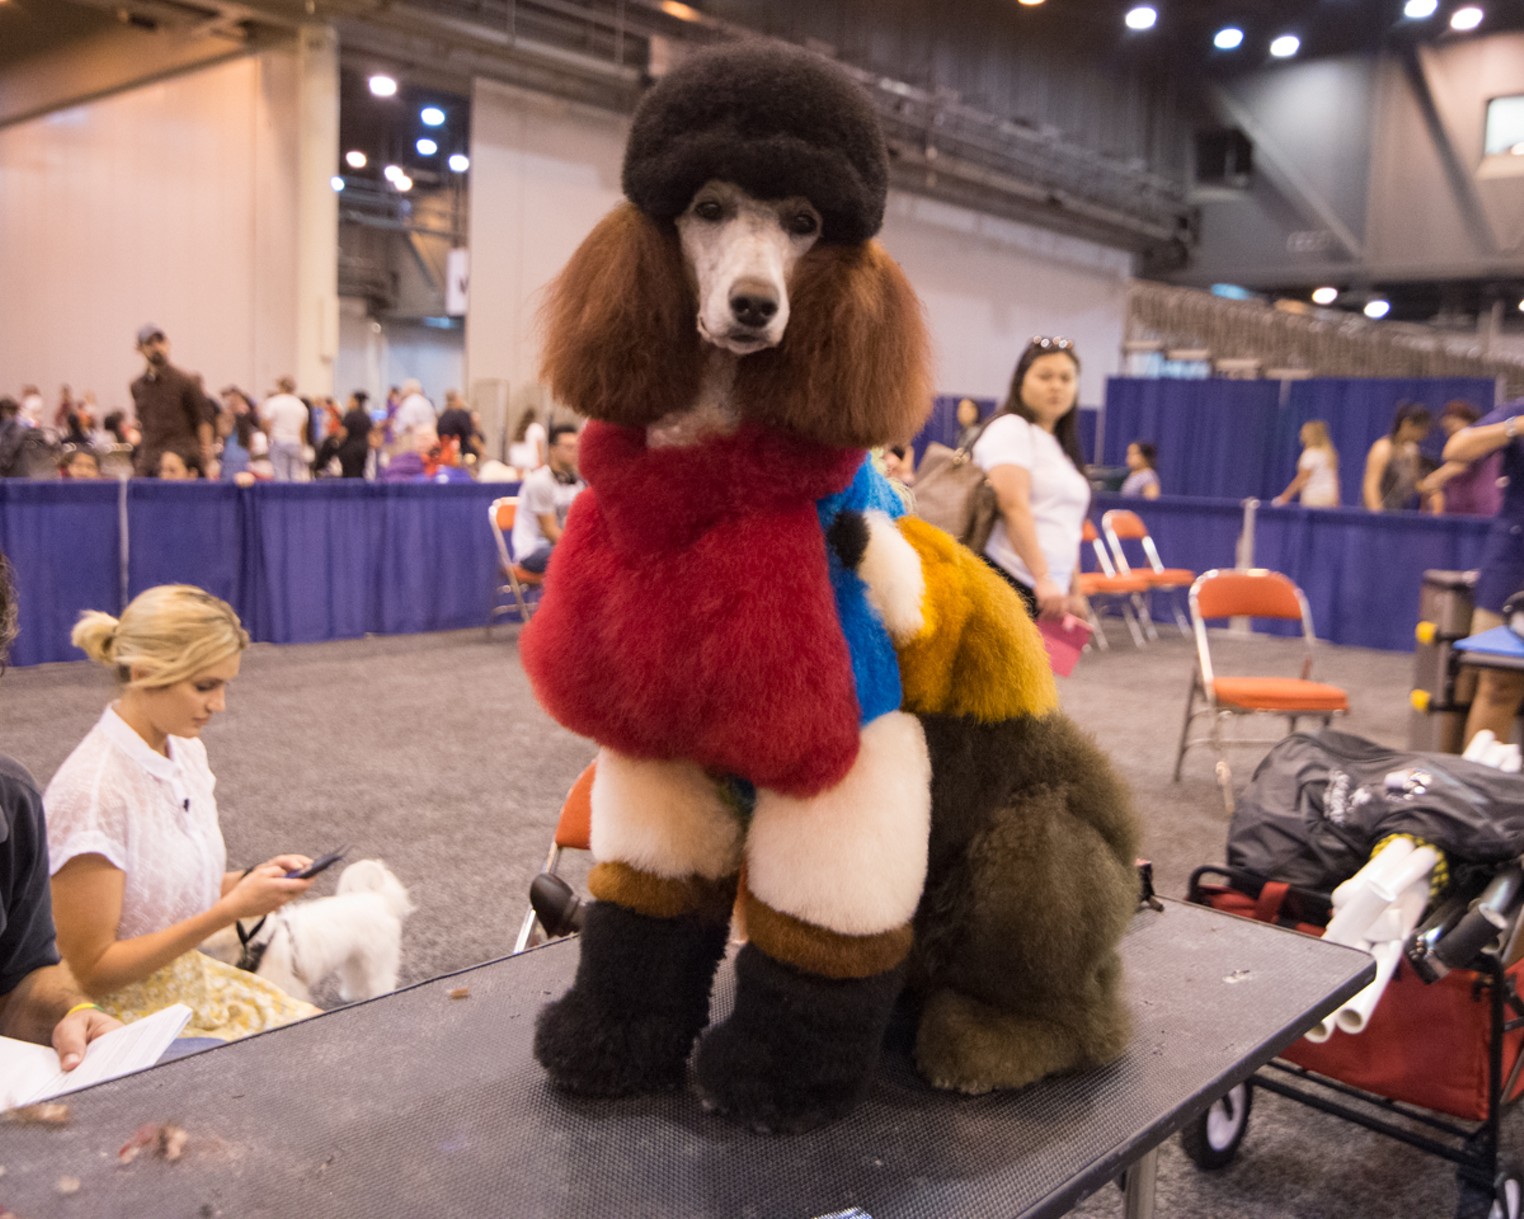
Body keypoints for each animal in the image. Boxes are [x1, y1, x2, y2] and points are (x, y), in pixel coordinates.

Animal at [208, 853, 414, 1005]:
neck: (258, 939)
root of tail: (378, 898)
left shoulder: (287, 987)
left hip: (377, 957)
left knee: (381, 980)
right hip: (354, 956)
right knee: (354, 976)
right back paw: (352, 995)